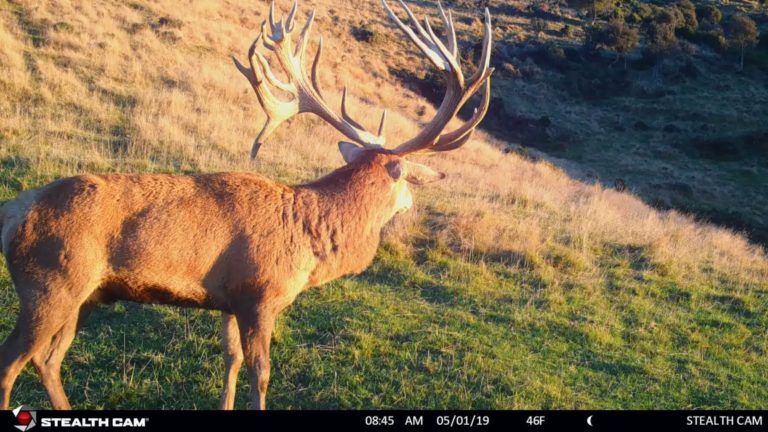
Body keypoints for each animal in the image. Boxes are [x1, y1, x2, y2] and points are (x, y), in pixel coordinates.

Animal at [0, 0, 493, 410]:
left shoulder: (228, 299)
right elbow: (261, 372)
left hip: (87, 294)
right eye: (408, 176)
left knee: (47, 359)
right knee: (11, 360)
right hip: (49, 284)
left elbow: (231, 362)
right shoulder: (261, 294)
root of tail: (14, 212)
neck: (311, 238)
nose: (416, 197)